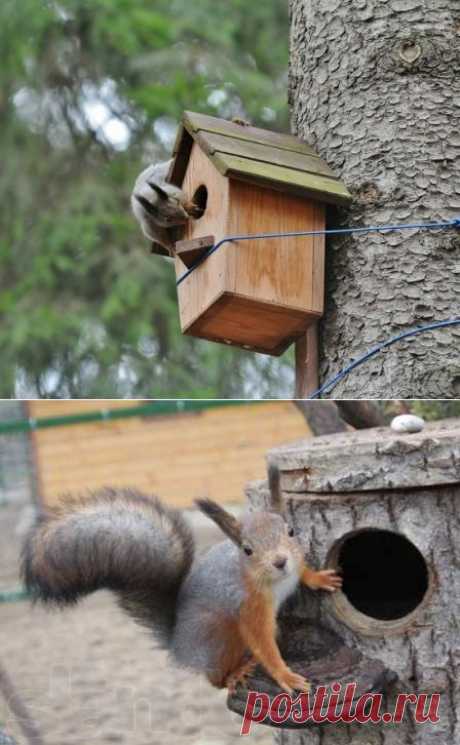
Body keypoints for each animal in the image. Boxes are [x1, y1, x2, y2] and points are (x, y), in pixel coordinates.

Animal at [21, 468, 342, 696]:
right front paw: (285, 675)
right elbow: (263, 644)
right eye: (247, 550)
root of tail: (178, 645)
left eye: (291, 531)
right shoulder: (249, 606)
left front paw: (319, 578)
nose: (280, 561)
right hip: (220, 636)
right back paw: (236, 673)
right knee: (215, 680)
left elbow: (303, 569)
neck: (275, 580)